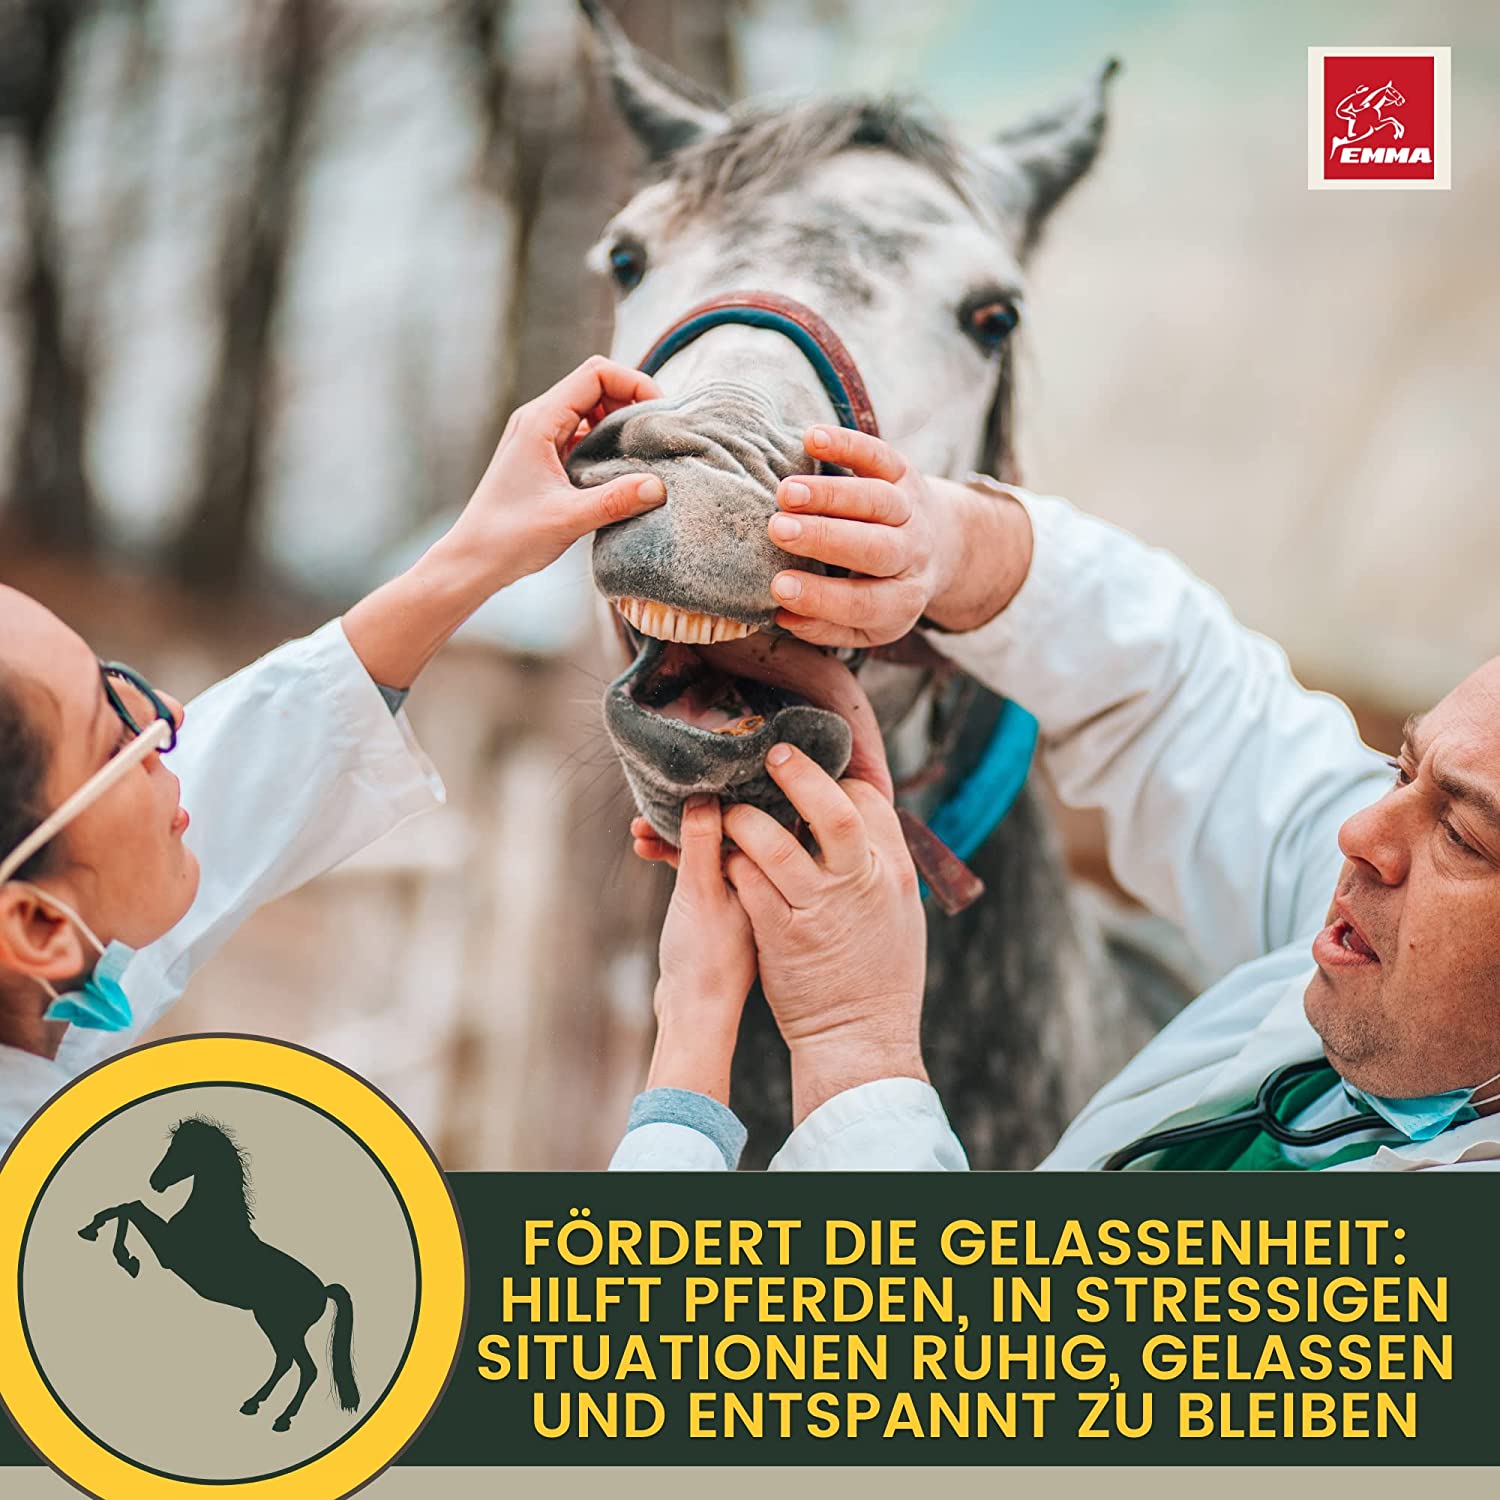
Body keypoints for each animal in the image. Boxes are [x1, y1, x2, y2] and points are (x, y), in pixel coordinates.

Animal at [77, 1116, 360, 1434]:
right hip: (272, 1325)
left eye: (182, 1149)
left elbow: (131, 1208)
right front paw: (99, 1236)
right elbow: (127, 1207)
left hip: (286, 1328)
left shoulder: (168, 1252)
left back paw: (282, 1420)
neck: (212, 1217)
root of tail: (322, 1290)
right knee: (284, 1362)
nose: (155, 1182)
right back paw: (252, 1404)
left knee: (307, 1370)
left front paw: (123, 1257)